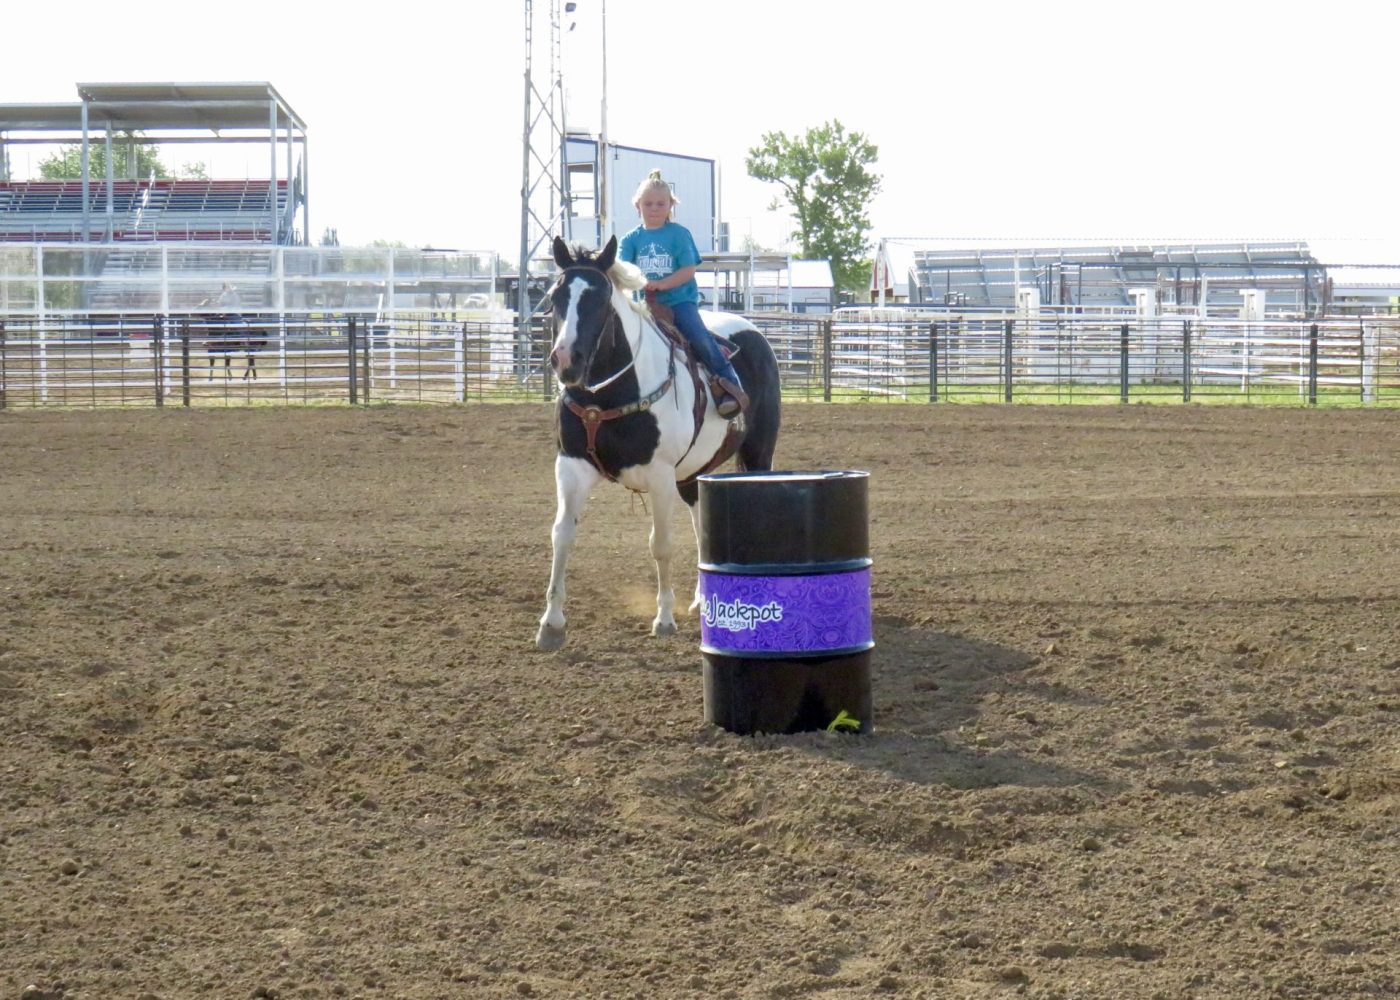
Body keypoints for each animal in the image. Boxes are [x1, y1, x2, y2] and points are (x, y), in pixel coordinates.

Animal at [534, 238, 784, 649]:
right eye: (556, 296)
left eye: (600, 298)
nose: (567, 361)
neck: (607, 395)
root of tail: (753, 331)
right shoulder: (570, 466)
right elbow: (562, 535)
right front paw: (551, 623)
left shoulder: (660, 475)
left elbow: (661, 544)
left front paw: (664, 618)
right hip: (693, 475)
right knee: (701, 525)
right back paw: (700, 600)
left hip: (758, 453)